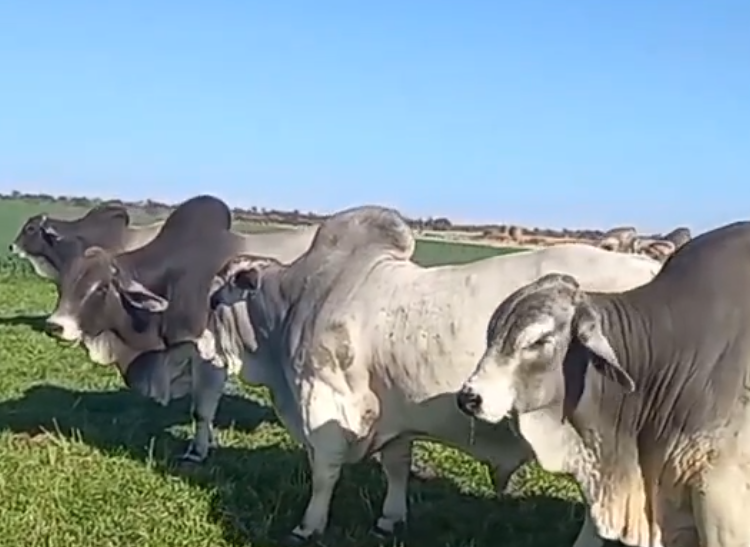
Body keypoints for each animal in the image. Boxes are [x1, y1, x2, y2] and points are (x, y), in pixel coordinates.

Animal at [44, 194, 319, 463]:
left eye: (101, 288)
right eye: (64, 284)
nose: (56, 326)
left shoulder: (209, 356)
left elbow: (201, 410)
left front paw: (197, 451)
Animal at [194, 205, 664, 546]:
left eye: (216, 298)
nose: (199, 346)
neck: (297, 302)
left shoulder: (326, 402)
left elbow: (324, 473)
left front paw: (308, 526)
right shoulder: (395, 414)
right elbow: (396, 467)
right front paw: (390, 518)